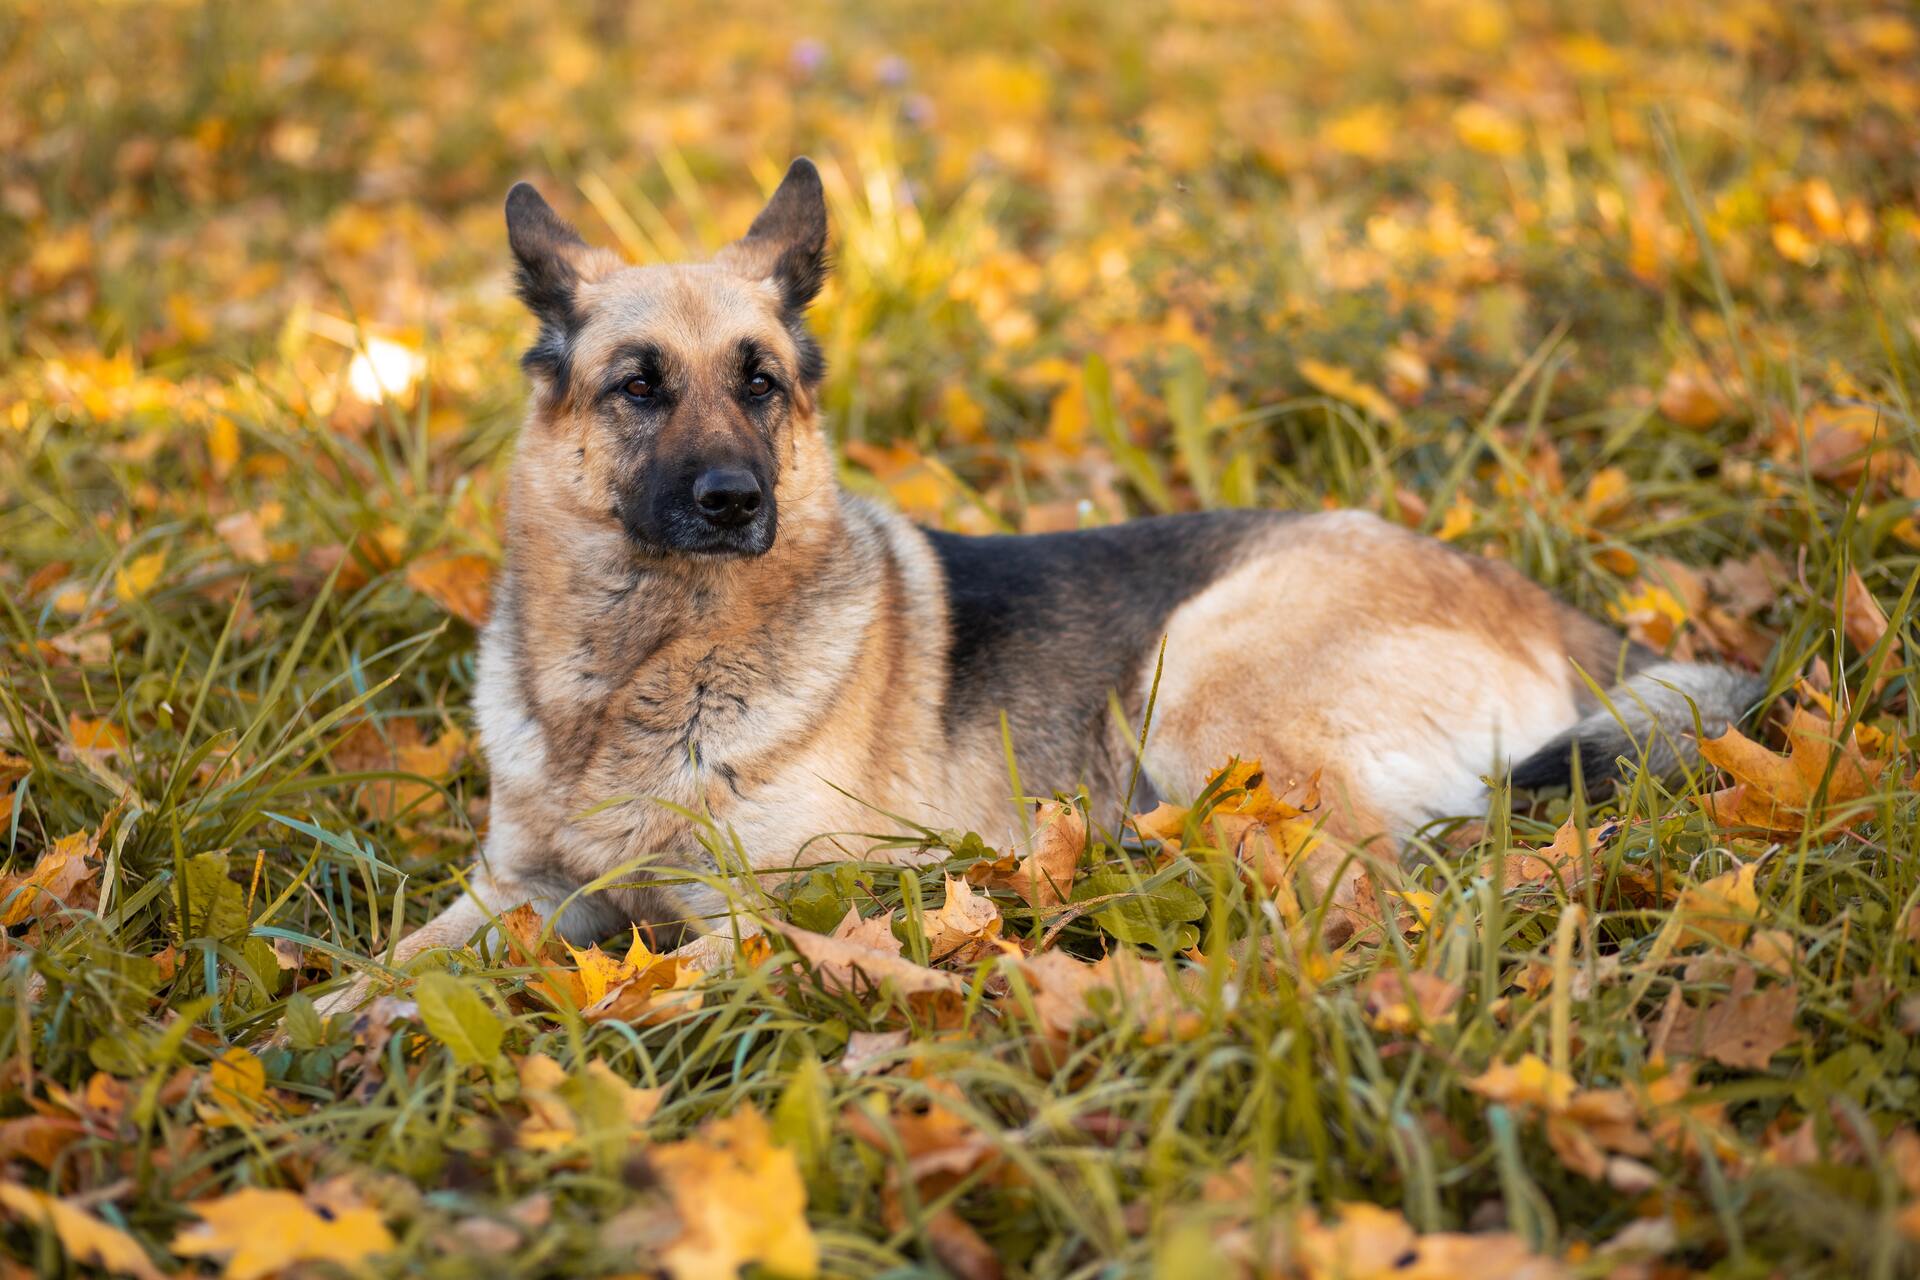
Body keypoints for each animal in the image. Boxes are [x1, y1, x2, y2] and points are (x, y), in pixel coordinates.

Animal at [311, 160, 1758, 1013]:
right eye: (639, 386)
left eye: (760, 382)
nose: (737, 504)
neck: (641, 664)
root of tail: (1532, 601)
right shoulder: (516, 892)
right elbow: (379, 972)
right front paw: (320, 1040)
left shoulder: (780, 913)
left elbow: (595, 998)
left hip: (1200, 683)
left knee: (1376, 897)